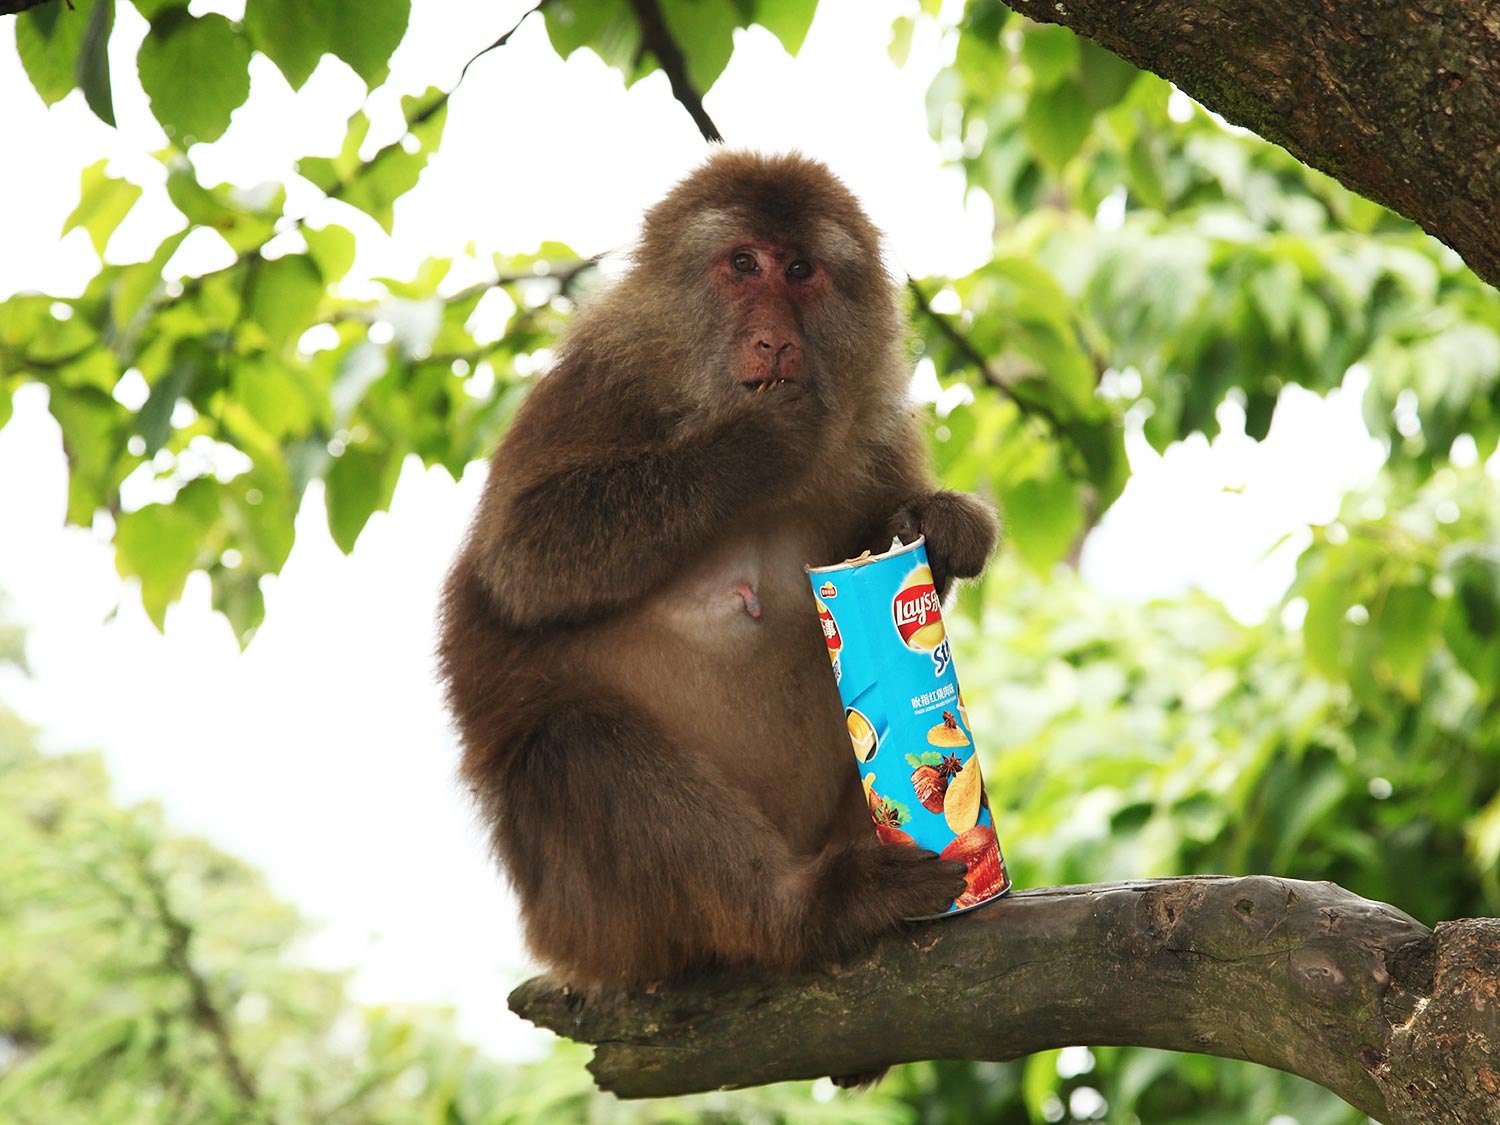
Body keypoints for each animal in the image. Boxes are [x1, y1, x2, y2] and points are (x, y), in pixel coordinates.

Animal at [435, 145, 996, 990]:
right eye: (741, 264)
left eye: (798, 269)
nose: (774, 341)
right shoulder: (597, 385)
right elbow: (521, 558)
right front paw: (751, 443)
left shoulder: (880, 434)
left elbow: (886, 545)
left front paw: (939, 527)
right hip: (594, 917)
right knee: (572, 746)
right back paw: (807, 910)